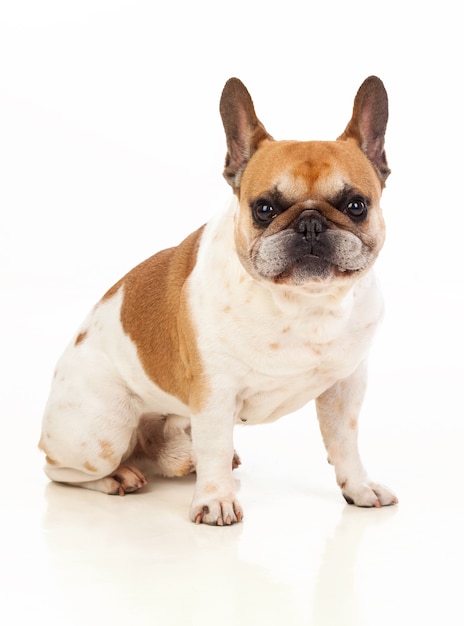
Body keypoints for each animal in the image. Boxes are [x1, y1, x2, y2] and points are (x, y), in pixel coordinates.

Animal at [38, 74, 396, 520]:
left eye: (356, 205)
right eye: (264, 208)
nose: (310, 225)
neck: (303, 302)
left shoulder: (345, 387)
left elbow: (345, 444)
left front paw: (359, 487)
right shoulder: (214, 393)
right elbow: (215, 447)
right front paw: (215, 500)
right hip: (104, 431)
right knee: (61, 472)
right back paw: (117, 477)